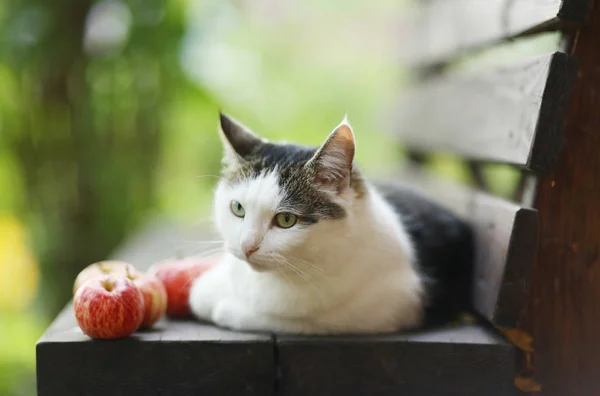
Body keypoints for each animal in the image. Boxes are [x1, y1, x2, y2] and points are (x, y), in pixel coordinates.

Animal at [189, 113, 474, 336]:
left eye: (286, 220)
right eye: (237, 208)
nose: (247, 246)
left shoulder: (385, 308)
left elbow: (288, 319)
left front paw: (223, 304)